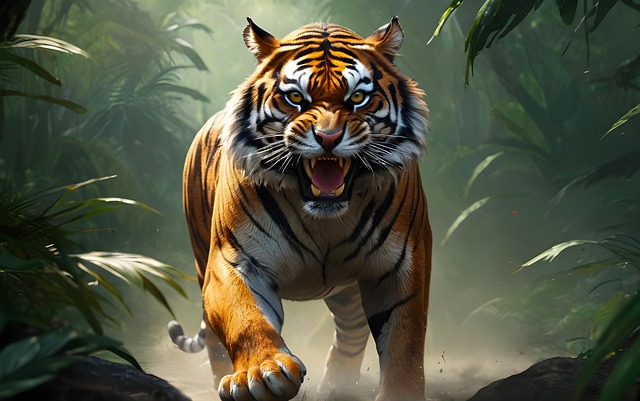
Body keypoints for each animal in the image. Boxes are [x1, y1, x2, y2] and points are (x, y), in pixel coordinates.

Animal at [167, 16, 432, 401]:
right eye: (295, 97)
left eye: (357, 97)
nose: (329, 138)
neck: (325, 218)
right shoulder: (232, 261)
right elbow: (245, 318)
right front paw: (263, 373)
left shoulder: (404, 263)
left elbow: (405, 341)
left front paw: (401, 392)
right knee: (216, 344)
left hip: (347, 290)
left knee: (351, 335)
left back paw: (338, 387)